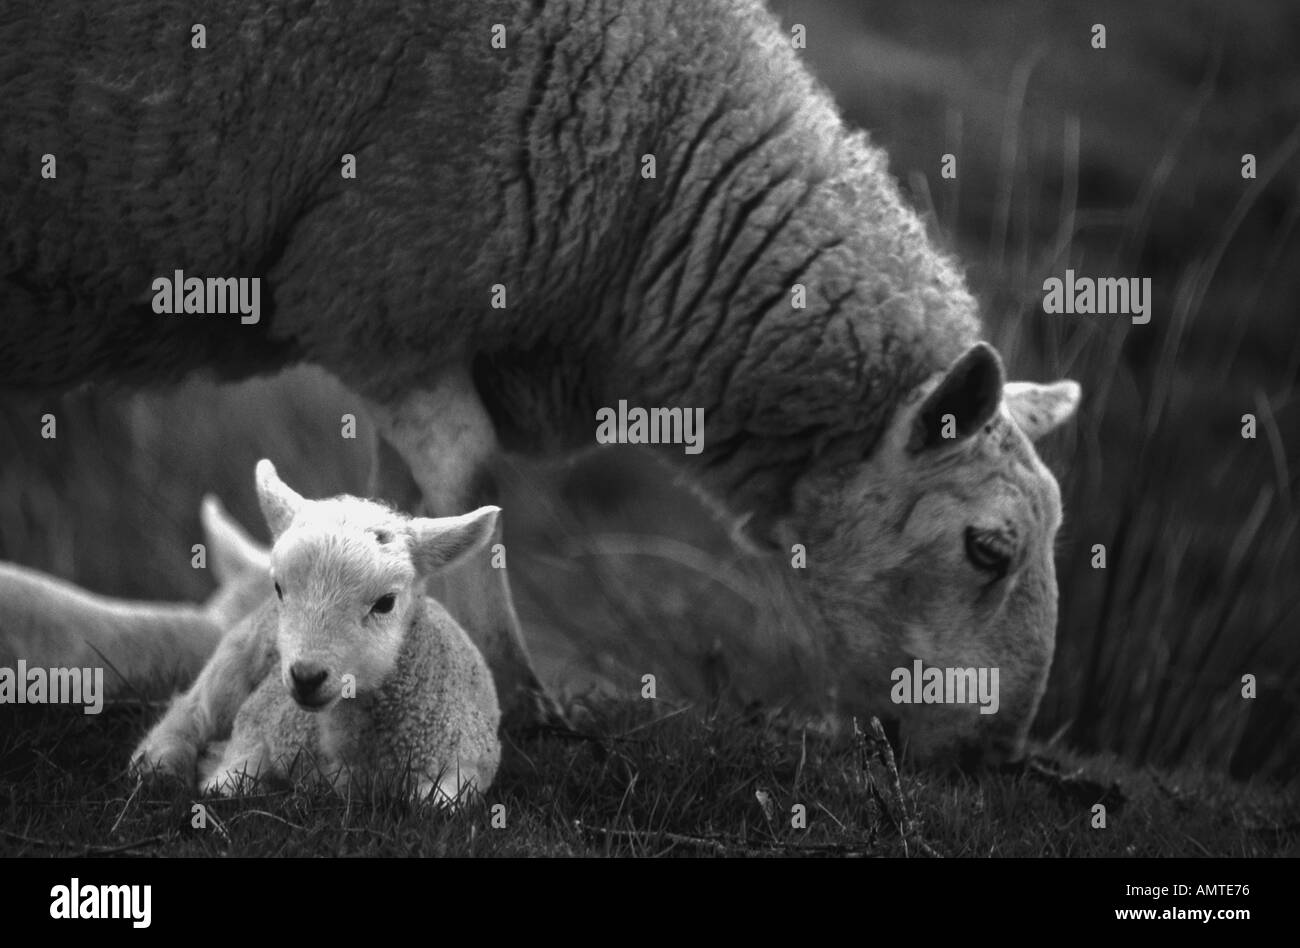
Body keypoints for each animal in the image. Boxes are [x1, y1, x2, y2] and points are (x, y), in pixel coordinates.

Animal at [3, 0, 1080, 763]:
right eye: (989, 549)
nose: (994, 761)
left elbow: (402, 508)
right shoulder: (384, 287)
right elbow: (469, 482)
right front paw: (523, 698)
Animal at [142, 460, 502, 805]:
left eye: (386, 603)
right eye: (279, 587)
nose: (306, 676)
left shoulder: (467, 759)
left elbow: (437, 804)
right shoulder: (258, 722)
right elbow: (225, 786)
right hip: (235, 664)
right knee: (189, 713)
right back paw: (160, 765)